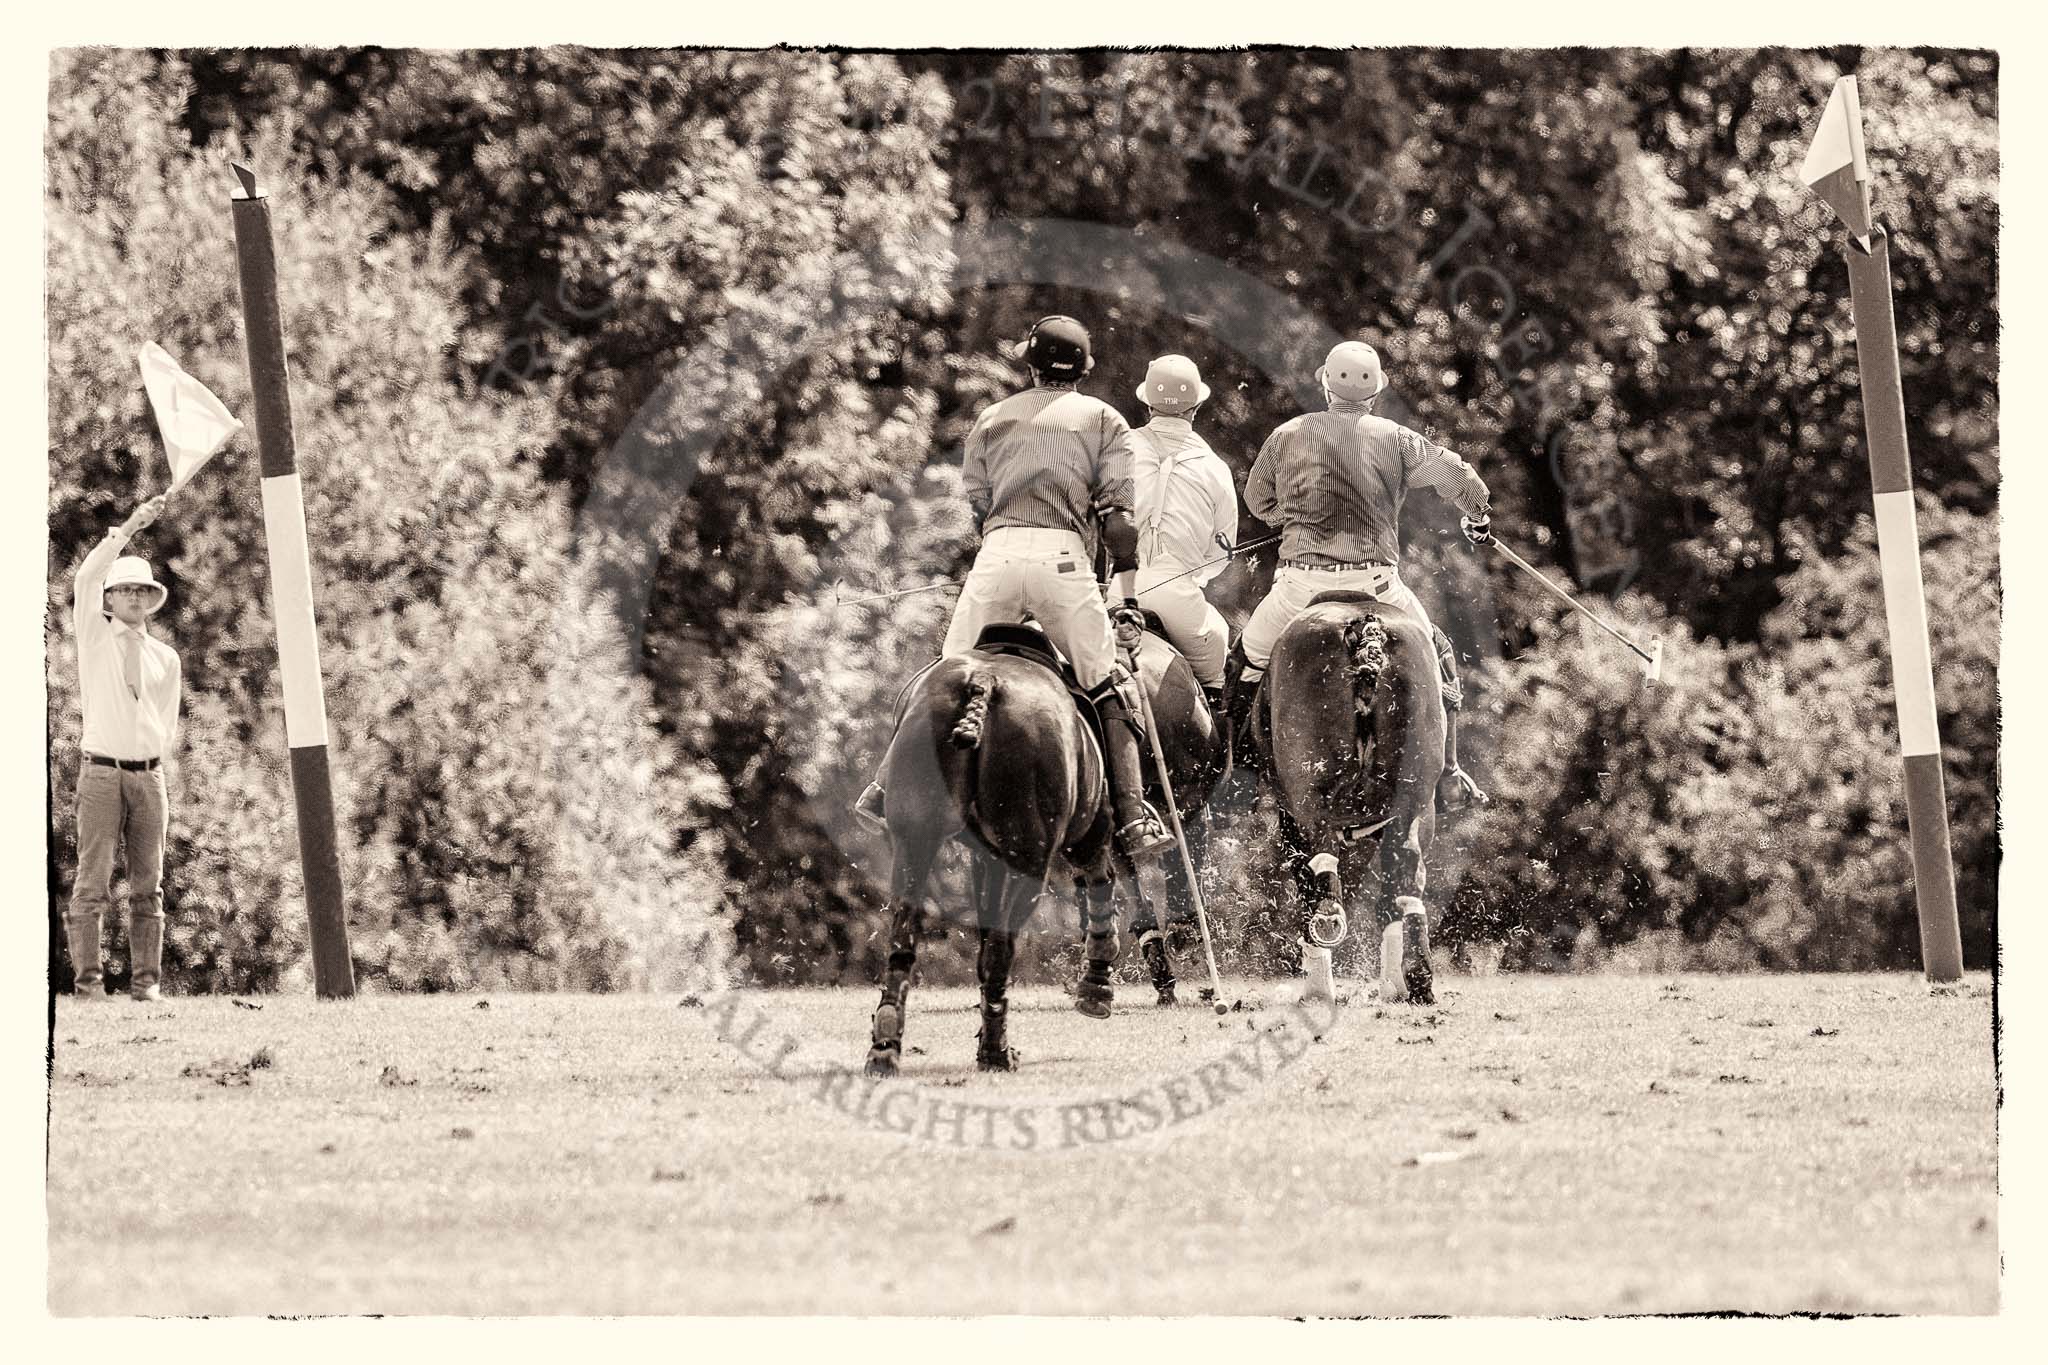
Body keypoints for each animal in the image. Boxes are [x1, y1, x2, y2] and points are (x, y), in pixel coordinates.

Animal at [860, 634, 1130, 1080]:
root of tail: (982, 682)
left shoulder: (985, 859)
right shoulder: (1090, 829)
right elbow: (1097, 880)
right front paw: (1096, 986)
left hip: (915, 838)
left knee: (903, 939)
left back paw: (885, 1049)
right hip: (1031, 857)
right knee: (1003, 948)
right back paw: (996, 1052)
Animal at [1253, 593, 1449, 1010]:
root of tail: (1365, 623)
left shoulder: (1290, 814)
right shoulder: (1397, 817)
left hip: (1311, 792)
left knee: (1321, 872)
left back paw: (1321, 967)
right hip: (1412, 798)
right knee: (1405, 870)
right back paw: (1418, 978)